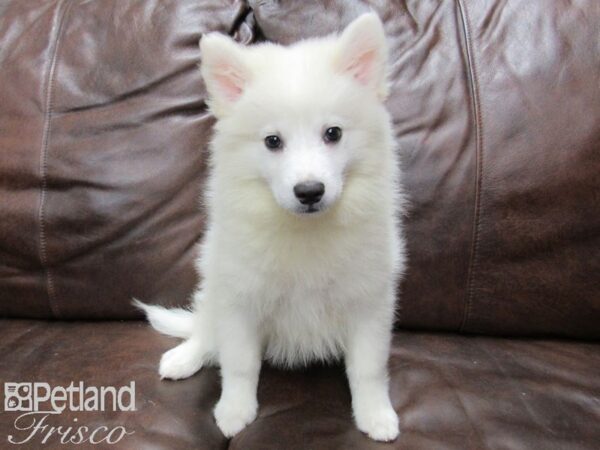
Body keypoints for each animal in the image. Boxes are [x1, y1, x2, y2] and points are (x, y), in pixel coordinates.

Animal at [137, 12, 408, 442]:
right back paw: (184, 357)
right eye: (272, 141)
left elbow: (367, 367)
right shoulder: (240, 299)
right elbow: (239, 363)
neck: (304, 230)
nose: (309, 191)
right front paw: (234, 411)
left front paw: (375, 415)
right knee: (206, 329)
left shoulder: (369, 302)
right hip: (215, 284)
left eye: (333, 133)